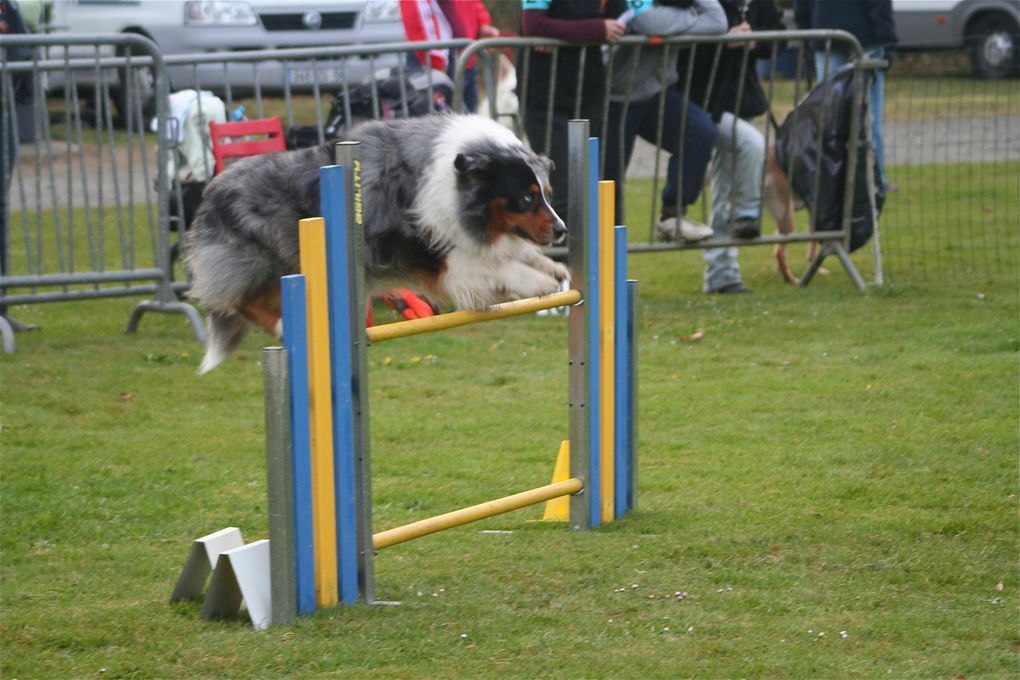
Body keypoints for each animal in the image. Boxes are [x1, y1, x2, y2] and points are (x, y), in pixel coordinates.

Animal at [187, 114, 571, 375]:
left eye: (548, 194)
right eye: (526, 198)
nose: (562, 230)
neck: (448, 180)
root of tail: (209, 194)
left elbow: (507, 254)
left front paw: (551, 267)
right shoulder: (431, 257)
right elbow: (491, 265)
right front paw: (537, 282)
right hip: (266, 258)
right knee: (240, 300)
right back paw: (284, 327)